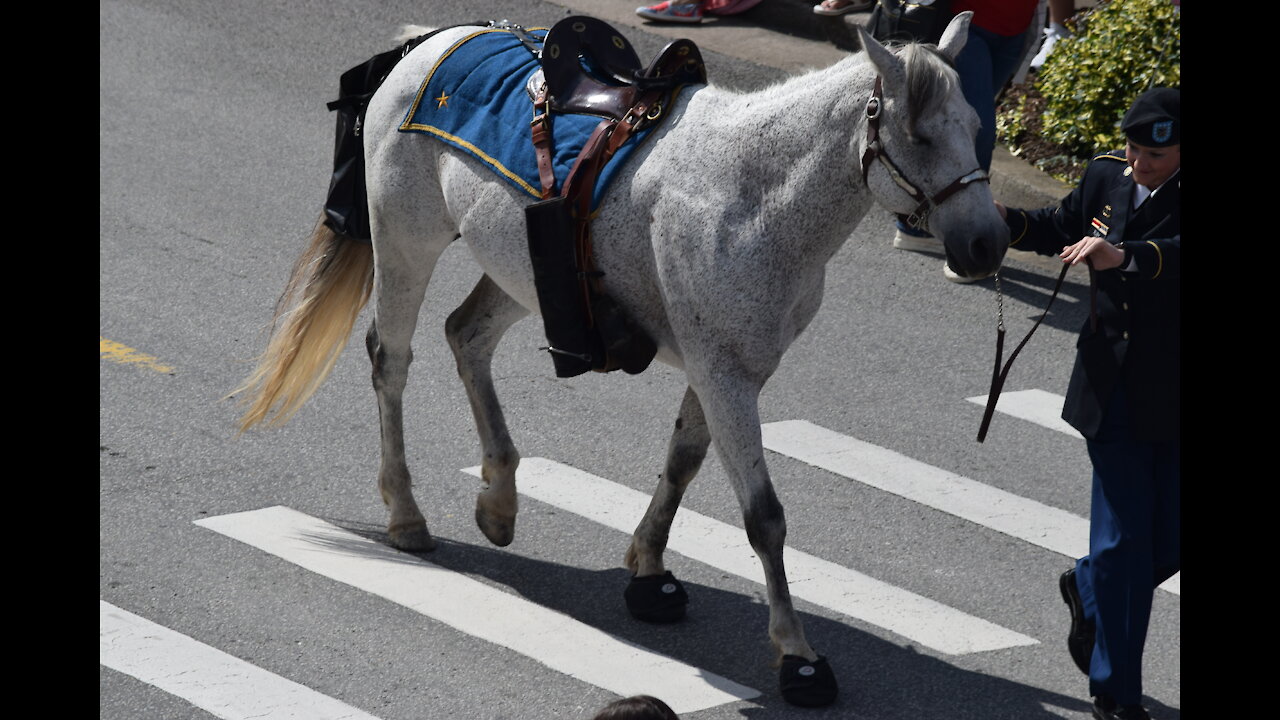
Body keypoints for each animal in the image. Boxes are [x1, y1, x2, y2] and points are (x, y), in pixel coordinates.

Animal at [235, 14, 1003, 702]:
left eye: (974, 124)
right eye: (922, 134)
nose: (989, 244)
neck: (755, 193)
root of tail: (431, 41)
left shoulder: (724, 366)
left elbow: (683, 463)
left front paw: (649, 567)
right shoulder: (726, 377)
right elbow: (763, 517)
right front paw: (797, 655)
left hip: (528, 271)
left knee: (467, 335)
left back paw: (500, 497)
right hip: (405, 242)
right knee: (392, 361)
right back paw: (405, 512)